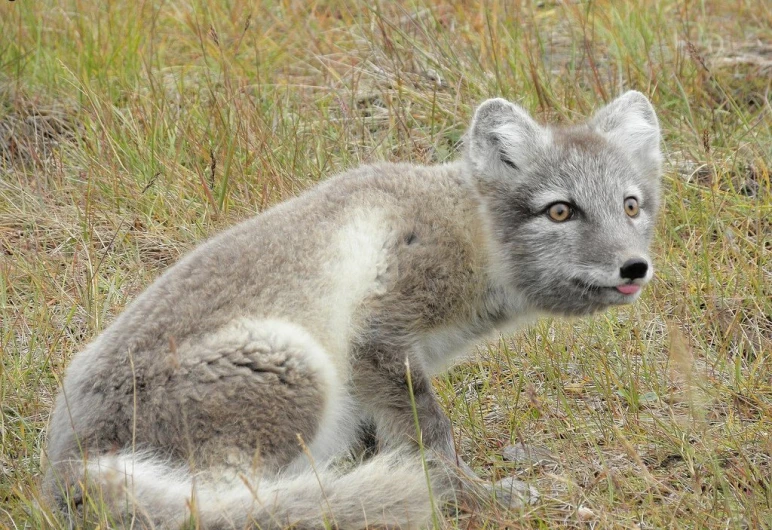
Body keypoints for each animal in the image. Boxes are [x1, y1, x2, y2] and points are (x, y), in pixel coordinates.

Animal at [42, 88, 660, 524]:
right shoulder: (378, 338)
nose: (635, 267)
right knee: (229, 502)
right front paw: (471, 497)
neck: (466, 230)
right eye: (560, 211)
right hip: (295, 363)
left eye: (630, 206)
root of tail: (69, 468)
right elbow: (432, 440)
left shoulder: (377, 377)